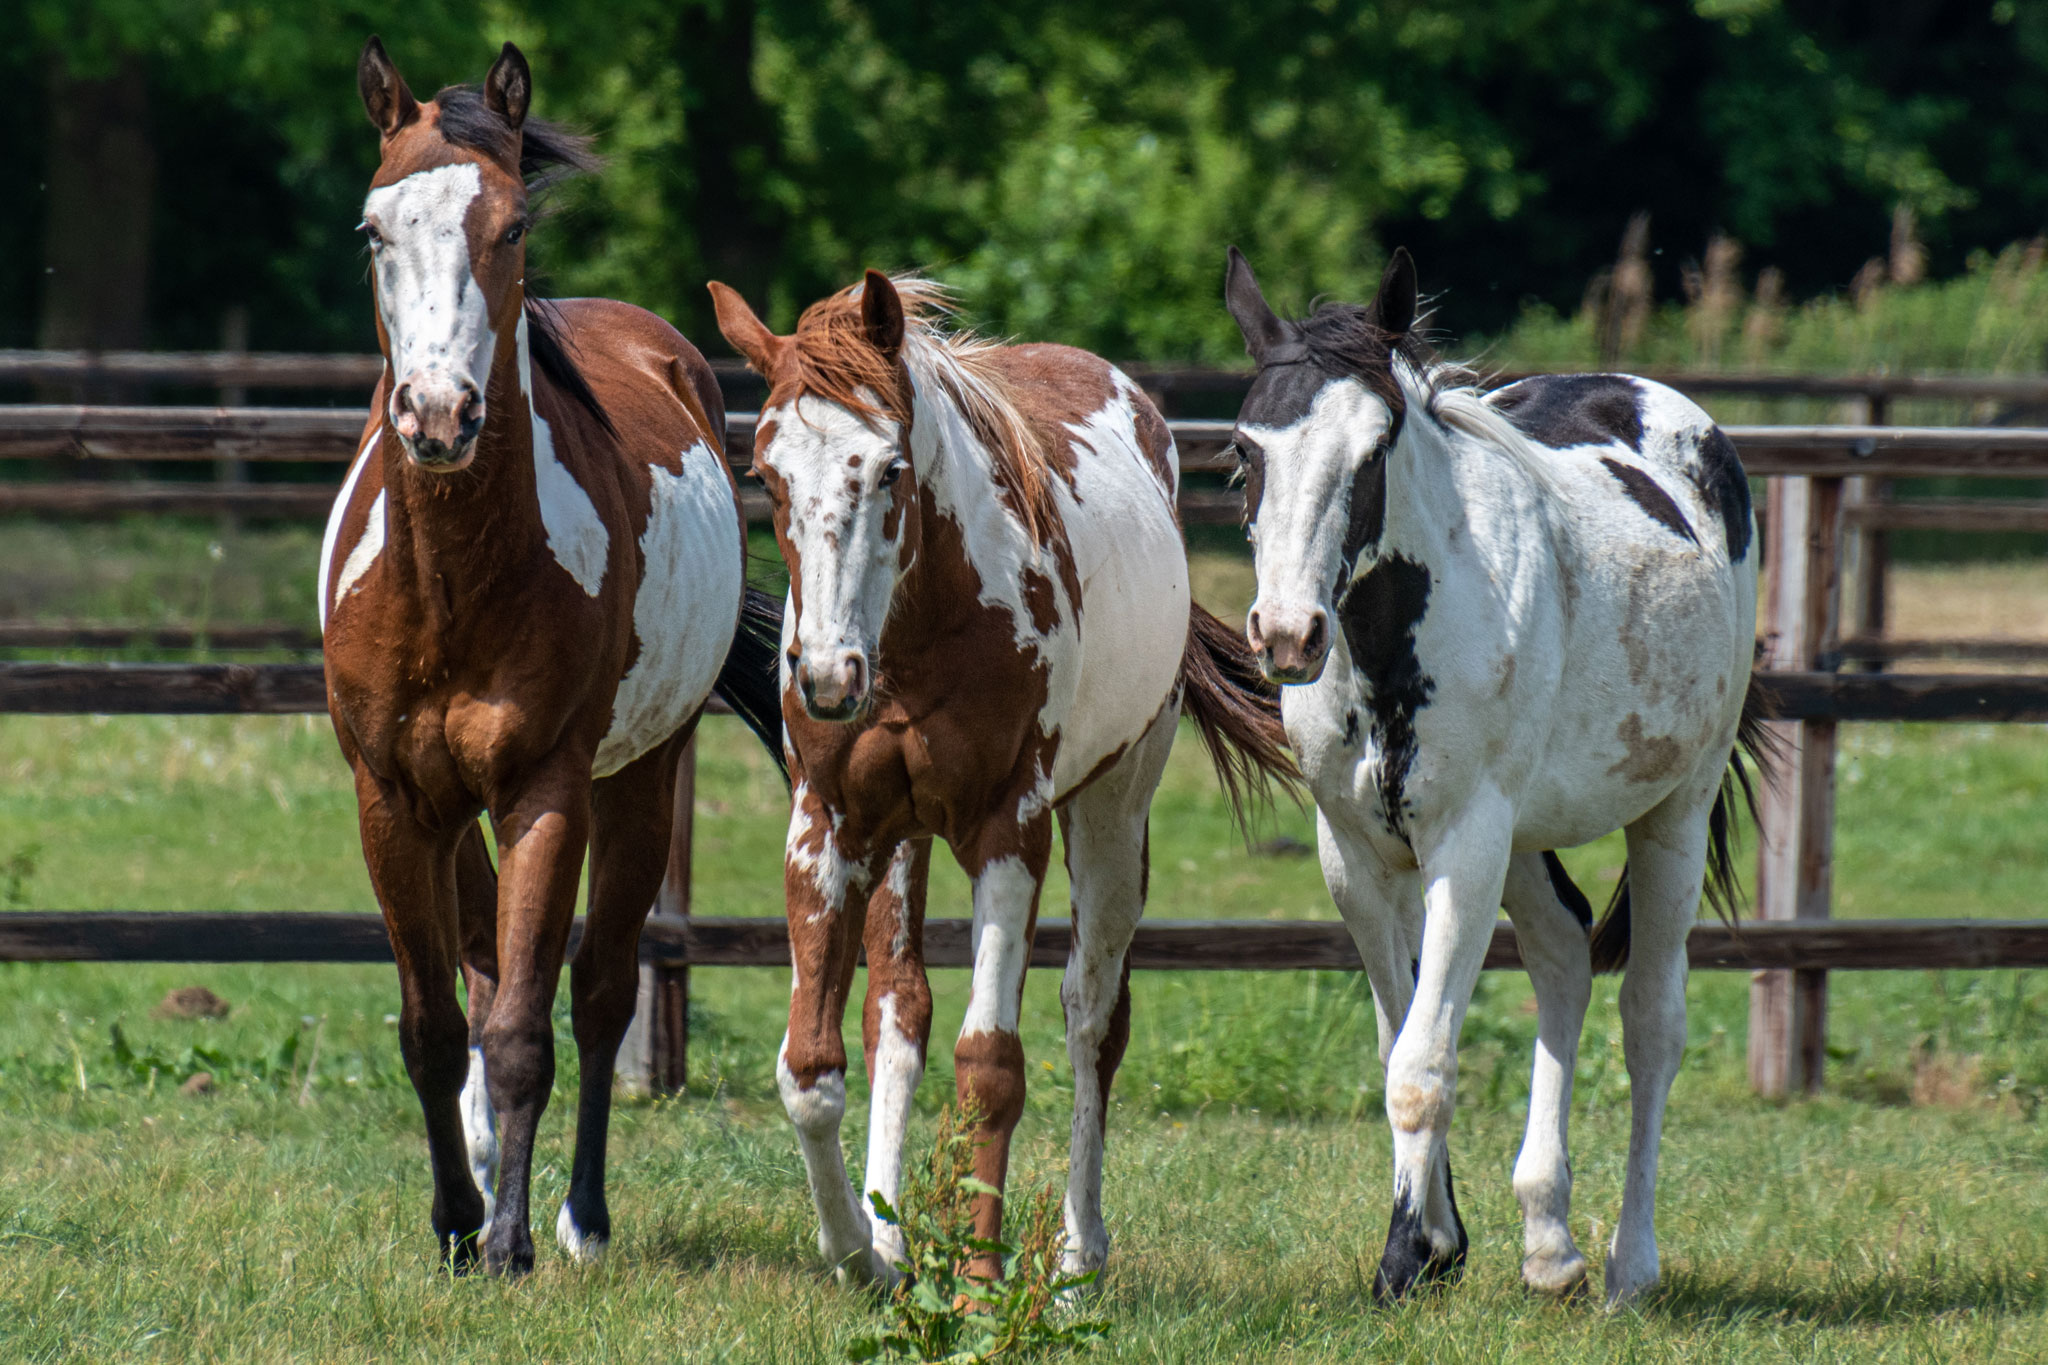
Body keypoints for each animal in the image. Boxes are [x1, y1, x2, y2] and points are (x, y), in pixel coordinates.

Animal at [323, 42, 778, 1285]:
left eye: (513, 224)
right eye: (372, 228)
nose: (438, 415)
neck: (453, 587)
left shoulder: (544, 791)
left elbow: (529, 1027)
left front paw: (512, 1243)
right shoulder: (392, 802)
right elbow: (435, 1029)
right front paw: (453, 1220)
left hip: (640, 781)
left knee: (603, 993)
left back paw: (581, 1217)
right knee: (482, 973)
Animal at [708, 272, 1294, 1285]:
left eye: (889, 469)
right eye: (767, 475)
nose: (825, 677)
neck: (923, 627)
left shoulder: (1007, 832)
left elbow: (991, 1065)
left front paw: (980, 1284)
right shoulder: (829, 825)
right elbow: (813, 1065)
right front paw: (861, 1249)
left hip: (1112, 817)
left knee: (1094, 1017)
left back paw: (1076, 1257)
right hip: (903, 840)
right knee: (898, 1015)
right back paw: (894, 1232)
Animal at [1220, 248, 1769, 1309]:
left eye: (1373, 451)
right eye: (1246, 448)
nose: (1287, 635)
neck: (1396, 645)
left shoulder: (1462, 848)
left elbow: (1424, 1063)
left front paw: (1404, 1258)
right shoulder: (1358, 858)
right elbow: (1399, 1042)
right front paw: (1438, 1242)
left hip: (1670, 816)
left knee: (1651, 1022)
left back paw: (1629, 1263)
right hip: (1525, 838)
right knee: (1562, 954)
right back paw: (1548, 1239)